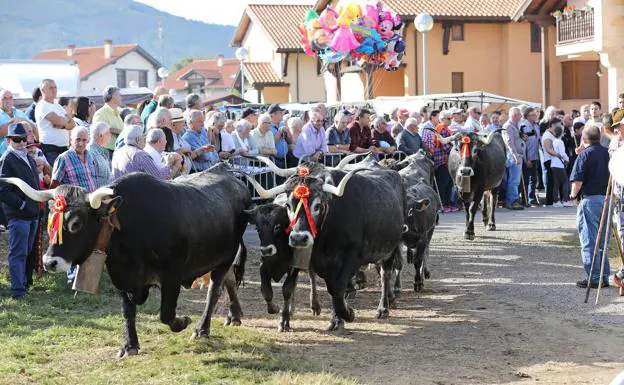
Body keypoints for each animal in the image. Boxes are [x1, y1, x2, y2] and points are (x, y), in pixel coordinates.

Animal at [3, 164, 251, 356]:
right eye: (50, 222)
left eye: (76, 224)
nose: (49, 262)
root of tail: (230, 175)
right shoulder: (121, 277)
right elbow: (128, 311)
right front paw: (130, 345)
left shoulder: (171, 276)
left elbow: (166, 314)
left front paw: (183, 322)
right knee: (229, 280)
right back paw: (234, 316)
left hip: (225, 257)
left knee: (214, 290)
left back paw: (202, 329)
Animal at [241, 159, 408, 330]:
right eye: (288, 205)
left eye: (317, 206)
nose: (299, 238)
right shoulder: (322, 262)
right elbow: (332, 289)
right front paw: (337, 318)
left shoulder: (352, 258)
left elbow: (338, 288)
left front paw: (347, 314)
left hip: (391, 248)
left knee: (385, 274)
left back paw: (383, 308)